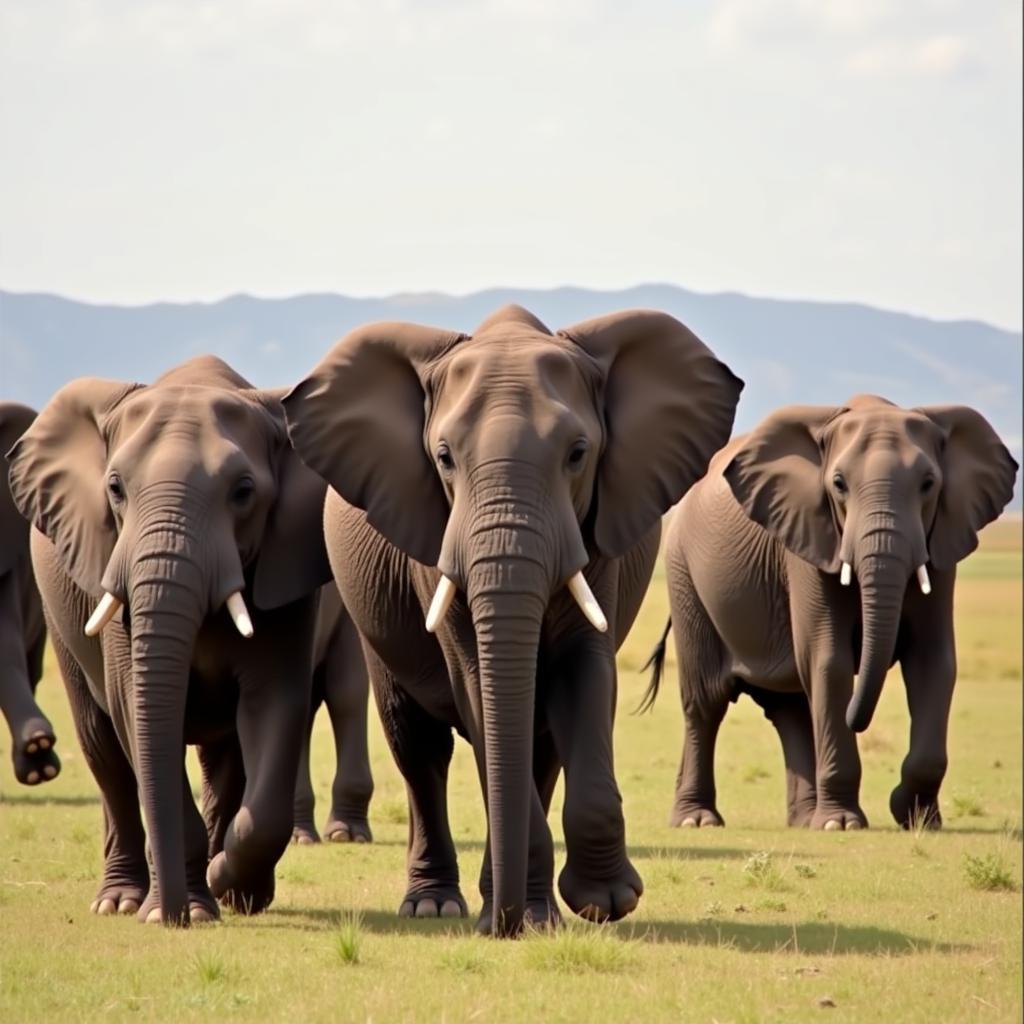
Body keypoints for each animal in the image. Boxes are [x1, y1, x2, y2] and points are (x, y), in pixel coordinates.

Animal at [6, 356, 327, 925]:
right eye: (115, 488)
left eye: (243, 492)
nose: (170, 915)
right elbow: (135, 711)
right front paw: (188, 911)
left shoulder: (286, 569)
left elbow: (274, 704)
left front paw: (229, 887)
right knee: (104, 751)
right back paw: (119, 901)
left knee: (224, 756)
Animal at [638, 391, 1015, 831]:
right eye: (838, 485)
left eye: (928, 485)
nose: (858, 719)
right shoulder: (806, 543)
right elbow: (829, 661)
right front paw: (843, 825)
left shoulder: (940, 544)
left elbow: (932, 662)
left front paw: (917, 819)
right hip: (683, 575)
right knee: (706, 703)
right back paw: (697, 821)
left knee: (791, 706)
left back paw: (804, 821)